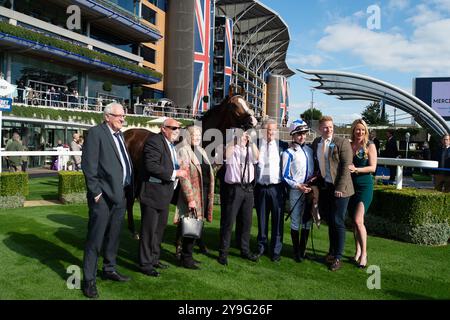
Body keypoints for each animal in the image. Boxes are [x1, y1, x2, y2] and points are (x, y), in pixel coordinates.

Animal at [123, 91, 258, 236]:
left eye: (248, 104)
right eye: (235, 106)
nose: (253, 121)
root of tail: (126, 134)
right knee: (131, 200)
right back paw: (134, 231)